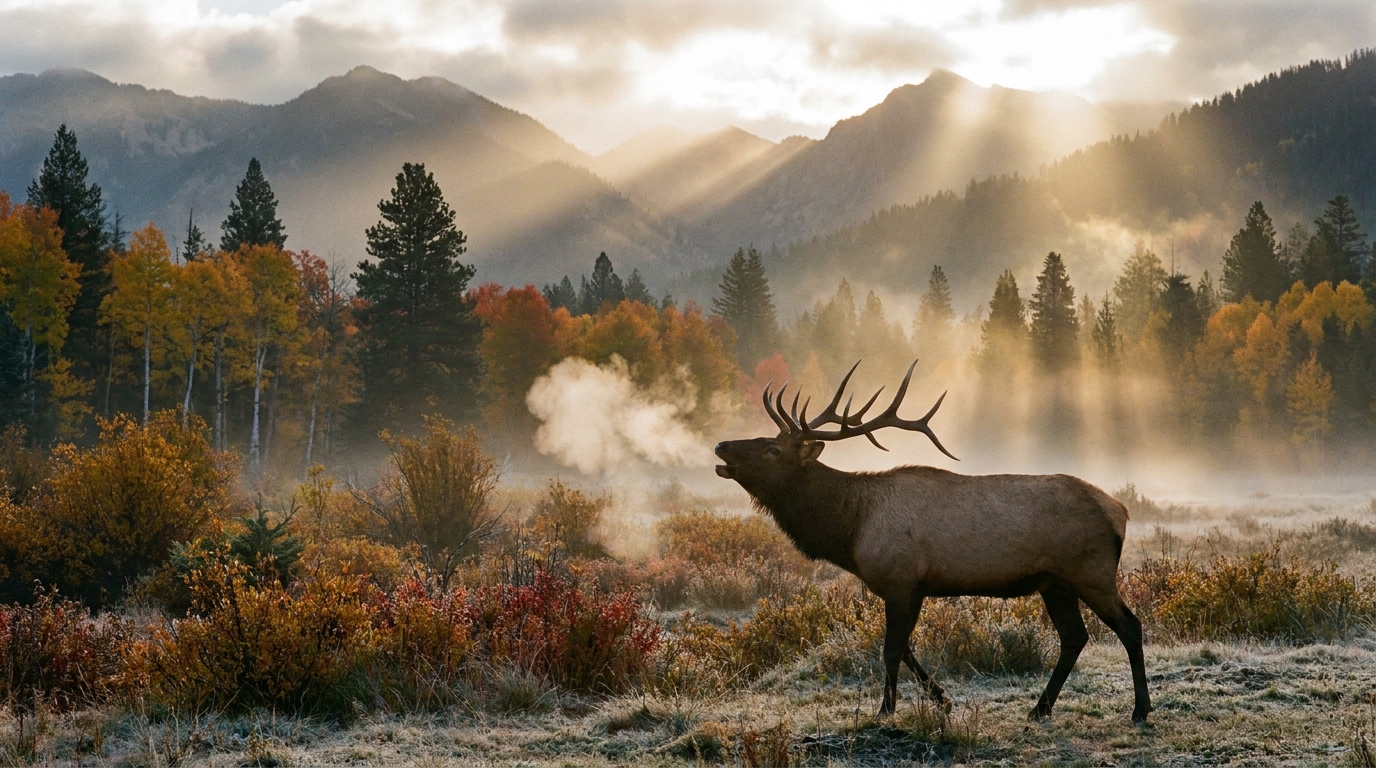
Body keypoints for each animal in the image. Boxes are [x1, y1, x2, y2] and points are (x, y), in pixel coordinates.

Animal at [713, 360, 1150, 724]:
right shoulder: (913, 587)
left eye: (773, 449)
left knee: (1129, 625)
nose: (720, 445)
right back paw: (1040, 709)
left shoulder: (900, 579)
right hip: (1055, 582)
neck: (850, 529)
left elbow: (891, 649)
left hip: (1091, 572)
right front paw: (943, 699)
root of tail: (1121, 511)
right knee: (1074, 637)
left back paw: (1140, 710)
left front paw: (885, 709)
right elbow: (906, 648)